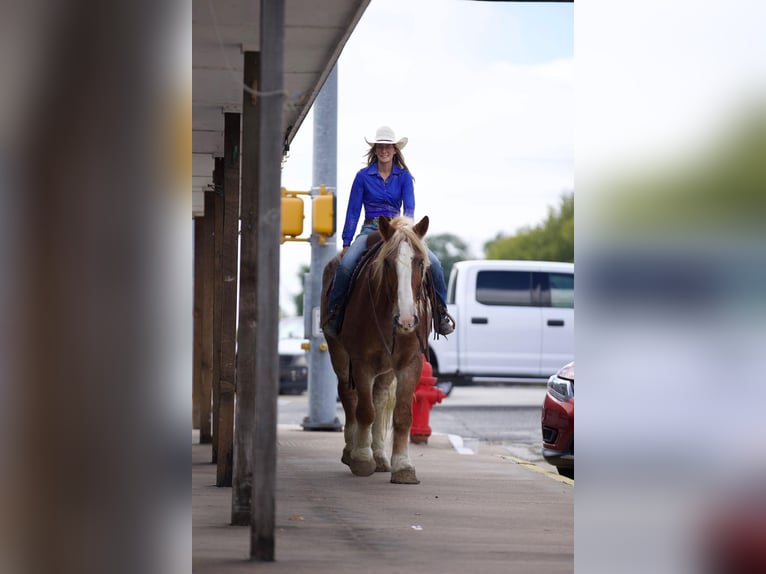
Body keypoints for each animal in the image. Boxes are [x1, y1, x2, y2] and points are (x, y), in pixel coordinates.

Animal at [320, 216, 436, 486]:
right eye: (387, 262)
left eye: (419, 261)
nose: (406, 320)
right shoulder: (361, 362)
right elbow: (365, 411)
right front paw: (362, 459)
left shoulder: (410, 364)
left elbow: (402, 414)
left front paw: (403, 466)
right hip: (340, 357)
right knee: (350, 396)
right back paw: (351, 451)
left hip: (386, 369)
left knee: (381, 398)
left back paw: (381, 456)